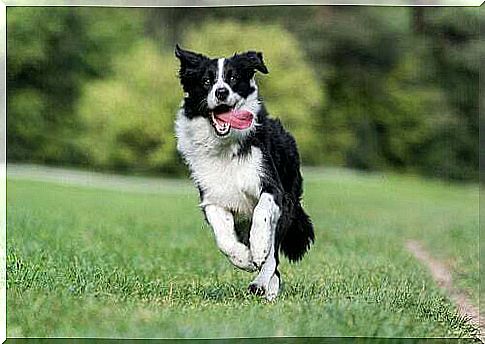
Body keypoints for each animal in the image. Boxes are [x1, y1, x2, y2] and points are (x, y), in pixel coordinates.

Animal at [174, 45, 314, 300]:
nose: (221, 92)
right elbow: (223, 238)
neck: (225, 148)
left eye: (233, 78)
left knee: (273, 256)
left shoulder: (273, 188)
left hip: (289, 205)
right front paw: (243, 258)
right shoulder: (212, 198)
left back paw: (262, 285)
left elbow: (262, 215)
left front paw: (257, 249)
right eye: (207, 81)